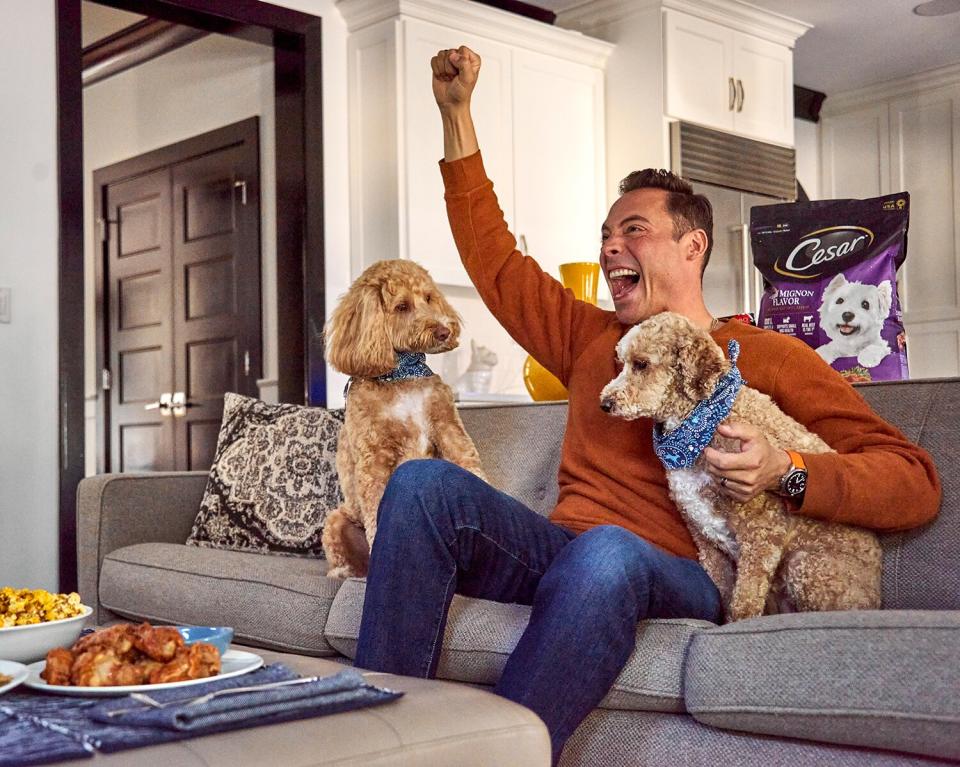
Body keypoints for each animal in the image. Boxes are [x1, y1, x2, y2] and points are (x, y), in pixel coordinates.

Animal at [324, 258, 488, 576]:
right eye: (401, 306)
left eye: (429, 298)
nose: (443, 331)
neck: (403, 373)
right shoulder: (374, 458)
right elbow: (376, 514)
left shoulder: (448, 429)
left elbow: (472, 467)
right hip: (336, 520)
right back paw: (346, 572)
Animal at [604, 314, 880, 624]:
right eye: (621, 362)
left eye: (641, 364)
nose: (605, 403)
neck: (699, 420)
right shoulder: (705, 538)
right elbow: (724, 594)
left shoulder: (762, 531)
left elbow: (744, 603)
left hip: (806, 567)